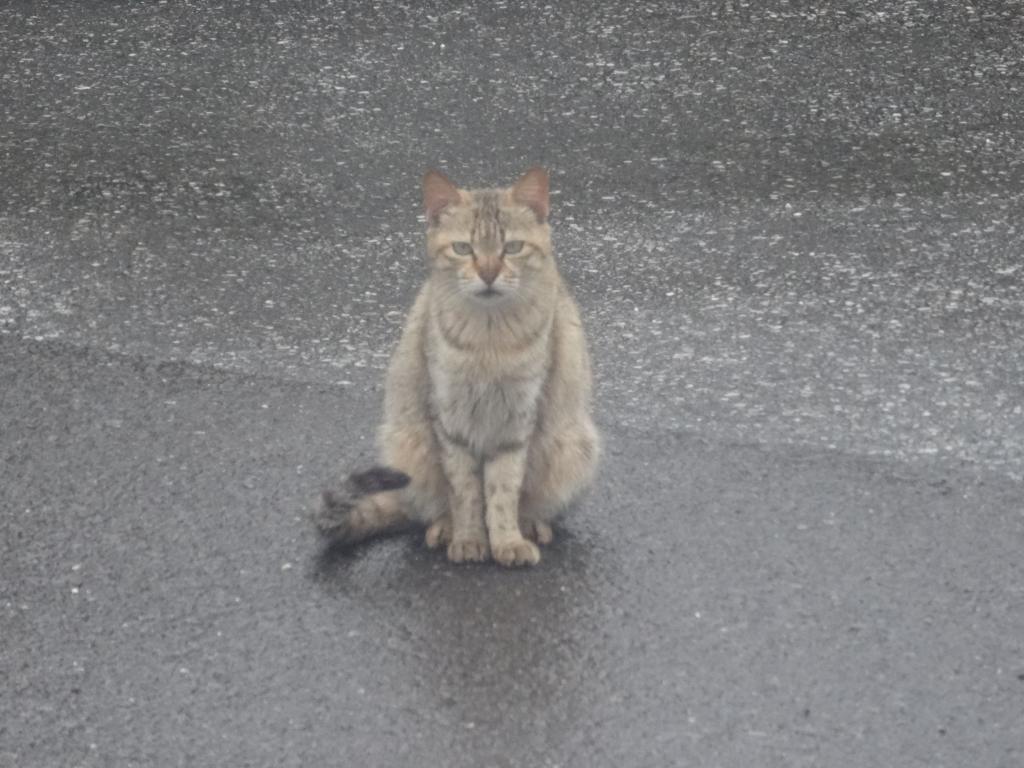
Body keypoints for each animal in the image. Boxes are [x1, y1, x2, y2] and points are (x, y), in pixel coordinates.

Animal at [313, 166, 598, 565]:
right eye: (464, 248)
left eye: (513, 247)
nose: (489, 273)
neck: (489, 340)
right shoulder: (450, 419)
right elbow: (465, 492)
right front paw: (468, 538)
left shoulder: (516, 421)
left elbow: (503, 490)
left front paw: (507, 541)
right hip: (407, 444)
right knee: (432, 507)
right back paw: (445, 526)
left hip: (573, 446)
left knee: (531, 502)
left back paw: (529, 524)